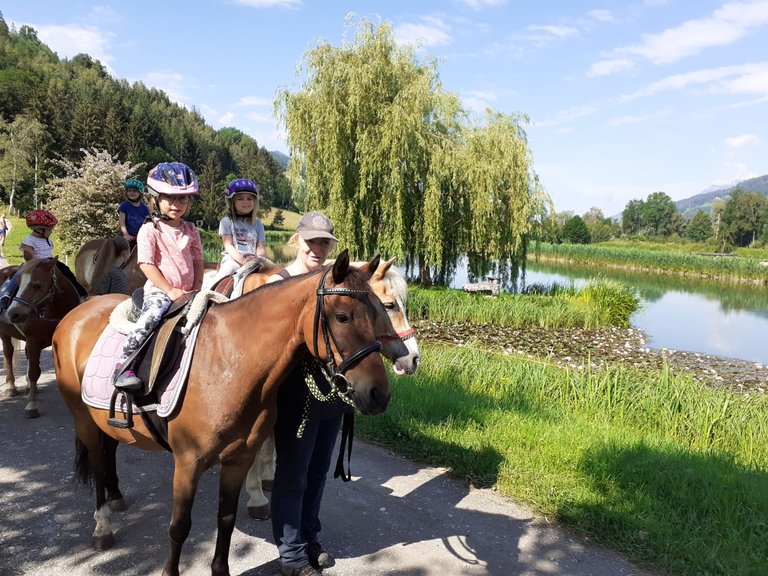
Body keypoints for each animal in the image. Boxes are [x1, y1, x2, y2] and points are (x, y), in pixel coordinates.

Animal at [0, 258, 82, 416]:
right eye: (18, 283)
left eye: (36, 285)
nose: (13, 313)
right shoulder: (33, 341)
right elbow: (34, 372)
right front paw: (31, 405)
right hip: (4, 333)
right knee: (8, 354)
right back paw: (11, 387)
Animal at [53, 254, 402, 576]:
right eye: (342, 317)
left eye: (378, 312)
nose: (379, 394)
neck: (229, 362)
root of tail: (78, 311)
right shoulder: (188, 463)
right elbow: (180, 526)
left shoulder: (239, 458)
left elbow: (226, 518)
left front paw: (221, 569)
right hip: (83, 419)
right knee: (97, 461)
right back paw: (102, 525)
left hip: (105, 420)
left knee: (110, 449)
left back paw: (116, 497)